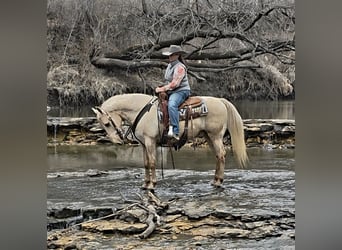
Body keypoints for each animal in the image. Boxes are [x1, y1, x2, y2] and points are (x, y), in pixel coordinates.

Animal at [92, 93, 247, 189]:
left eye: (107, 123)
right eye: (103, 125)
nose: (118, 141)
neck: (142, 111)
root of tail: (220, 100)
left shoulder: (150, 142)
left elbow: (152, 162)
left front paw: (152, 185)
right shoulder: (143, 144)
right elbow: (146, 163)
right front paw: (145, 184)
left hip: (215, 135)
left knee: (221, 154)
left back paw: (218, 182)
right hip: (208, 136)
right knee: (218, 156)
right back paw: (215, 180)